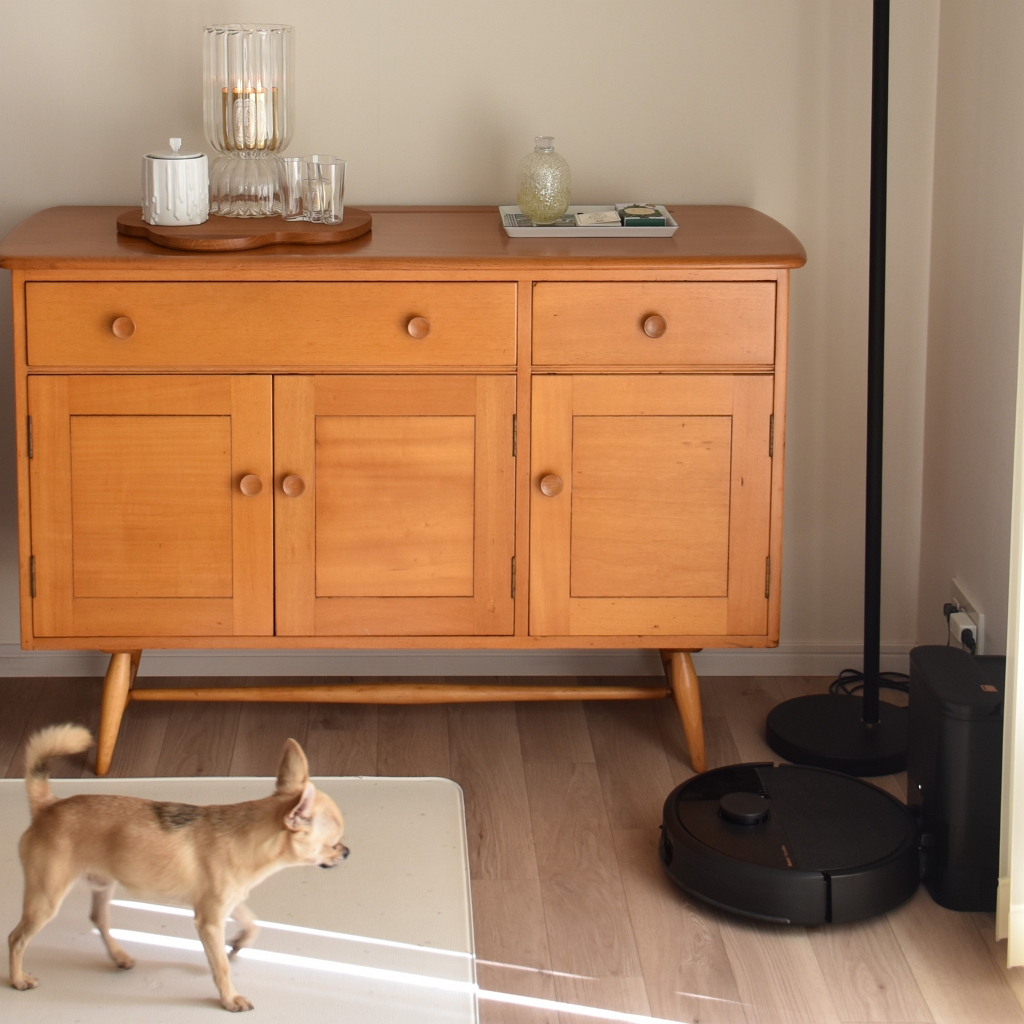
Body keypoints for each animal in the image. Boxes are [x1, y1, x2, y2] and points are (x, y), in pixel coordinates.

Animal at [8, 724, 348, 1012]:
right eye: (333, 843)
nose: (346, 852)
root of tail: (47, 805)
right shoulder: (209, 921)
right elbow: (220, 967)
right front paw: (230, 999)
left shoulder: (227, 903)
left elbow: (251, 924)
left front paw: (238, 943)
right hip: (46, 899)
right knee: (16, 938)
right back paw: (18, 979)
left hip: (103, 885)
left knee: (98, 919)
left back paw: (119, 957)